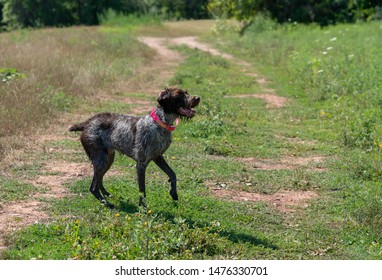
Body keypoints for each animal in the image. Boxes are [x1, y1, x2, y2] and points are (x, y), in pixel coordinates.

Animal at [69, 87, 200, 208]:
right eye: (179, 95)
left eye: (186, 93)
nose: (198, 98)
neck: (160, 123)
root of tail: (87, 123)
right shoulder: (141, 164)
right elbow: (142, 189)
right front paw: (143, 207)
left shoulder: (158, 157)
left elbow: (172, 174)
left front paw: (173, 192)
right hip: (101, 159)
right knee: (93, 187)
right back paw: (107, 203)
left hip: (108, 158)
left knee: (99, 179)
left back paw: (107, 195)